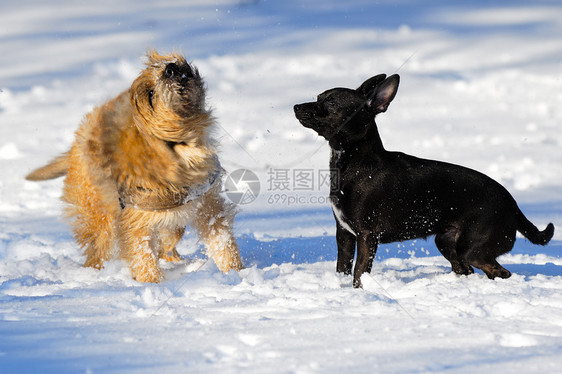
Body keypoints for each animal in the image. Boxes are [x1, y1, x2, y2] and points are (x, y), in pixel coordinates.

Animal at [26, 51, 242, 282]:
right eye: (150, 94)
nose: (171, 68)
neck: (176, 150)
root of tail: (77, 144)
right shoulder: (136, 221)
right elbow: (143, 258)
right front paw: (153, 283)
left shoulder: (208, 207)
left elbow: (223, 244)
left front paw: (236, 273)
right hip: (100, 216)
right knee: (98, 248)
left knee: (167, 242)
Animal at [294, 74, 552, 288]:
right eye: (318, 97)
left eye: (331, 104)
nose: (296, 106)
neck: (354, 163)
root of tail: (513, 206)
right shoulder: (344, 235)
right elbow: (343, 268)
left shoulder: (367, 235)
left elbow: (359, 271)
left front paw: (359, 292)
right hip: (447, 242)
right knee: (467, 269)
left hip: (472, 248)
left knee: (498, 271)